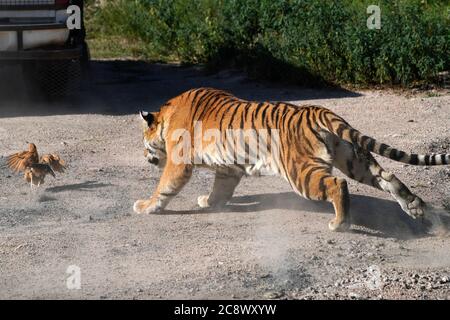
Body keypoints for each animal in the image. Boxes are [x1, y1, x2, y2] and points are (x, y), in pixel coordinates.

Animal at [134, 87, 450, 232]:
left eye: (144, 143)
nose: (146, 156)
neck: (166, 115)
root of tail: (321, 110)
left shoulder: (179, 163)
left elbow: (164, 187)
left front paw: (146, 206)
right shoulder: (227, 170)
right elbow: (219, 190)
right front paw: (209, 202)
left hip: (301, 172)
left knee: (337, 185)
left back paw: (340, 224)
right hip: (354, 159)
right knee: (388, 177)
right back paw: (415, 208)